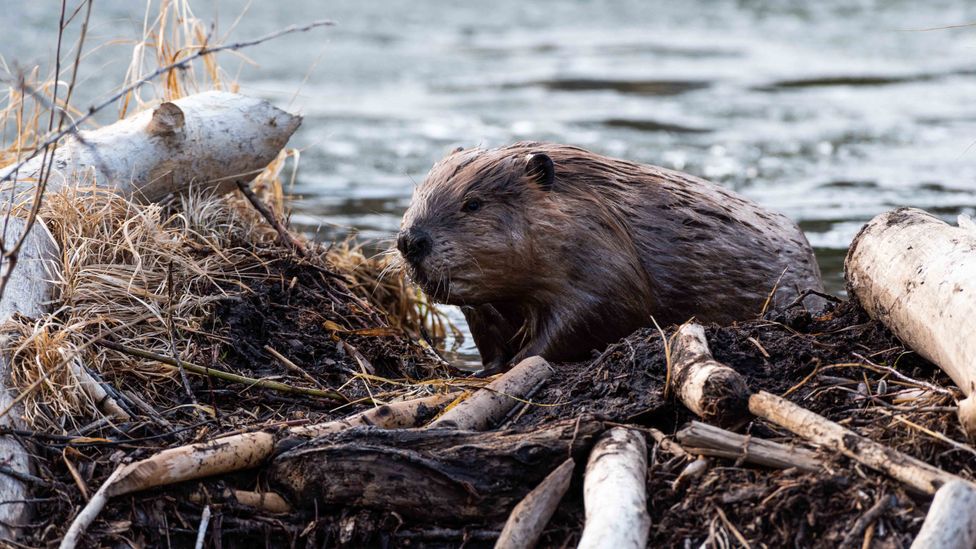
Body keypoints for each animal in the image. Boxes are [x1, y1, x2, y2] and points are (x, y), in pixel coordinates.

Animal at [396, 142, 824, 372]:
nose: (409, 241)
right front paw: (488, 369)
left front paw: (519, 363)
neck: (598, 209)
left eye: (473, 203)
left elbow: (589, 316)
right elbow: (487, 331)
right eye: (417, 194)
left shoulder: (605, 266)